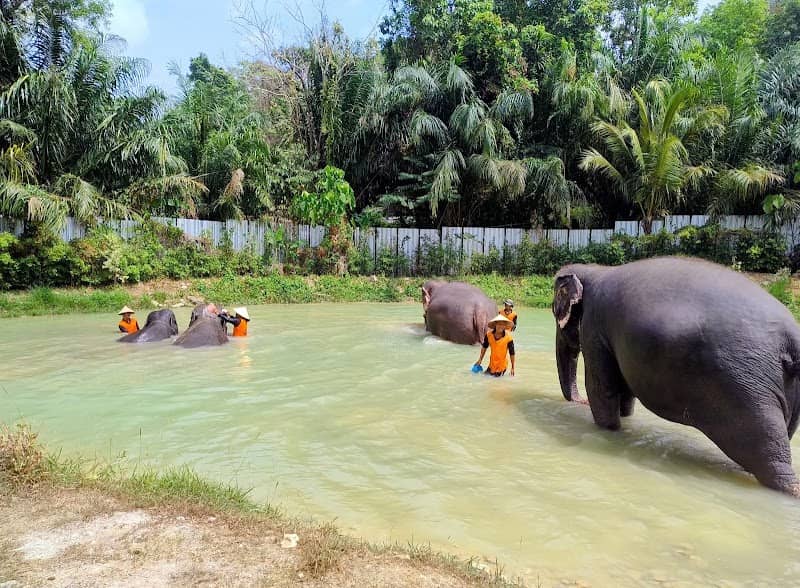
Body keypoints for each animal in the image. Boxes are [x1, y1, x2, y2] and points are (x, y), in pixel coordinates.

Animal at [552, 256, 800, 496]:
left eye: (554, 311)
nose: (579, 401)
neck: (594, 269)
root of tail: (793, 336)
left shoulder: (594, 327)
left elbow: (602, 388)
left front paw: (609, 429)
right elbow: (623, 389)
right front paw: (624, 421)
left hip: (747, 389)